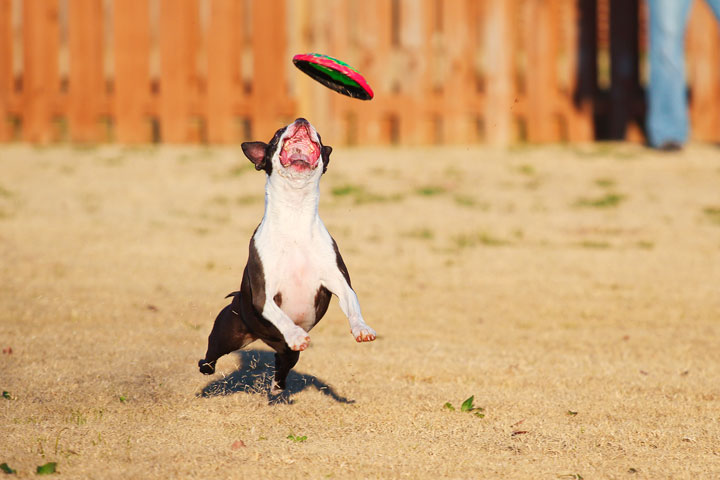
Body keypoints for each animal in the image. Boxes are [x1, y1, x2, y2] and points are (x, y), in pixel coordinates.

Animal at [197, 117, 376, 394]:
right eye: (277, 132)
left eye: (319, 135)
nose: (301, 120)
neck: (295, 213)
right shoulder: (263, 295)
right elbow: (280, 315)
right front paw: (296, 334)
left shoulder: (339, 282)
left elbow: (352, 305)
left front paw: (362, 329)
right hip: (227, 332)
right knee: (212, 354)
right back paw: (207, 368)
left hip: (285, 353)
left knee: (283, 362)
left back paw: (276, 387)